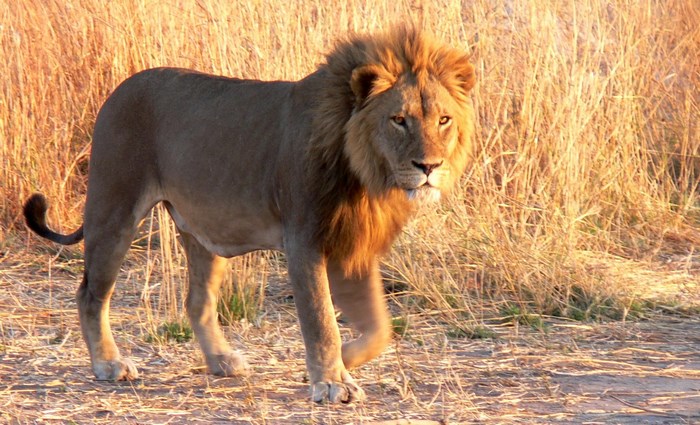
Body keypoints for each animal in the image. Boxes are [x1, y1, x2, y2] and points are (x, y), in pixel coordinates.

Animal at [23, 27, 476, 403]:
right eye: (399, 120)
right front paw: (331, 382)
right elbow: (320, 319)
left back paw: (221, 360)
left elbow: (380, 328)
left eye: (444, 119)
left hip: (202, 231)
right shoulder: (304, 239)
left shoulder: (354, 243)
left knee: (197, 301)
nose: (430, 166)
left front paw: (338, 365)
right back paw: (109, 364)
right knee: (90, 294)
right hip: (113, 211)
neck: (366, 175)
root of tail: (119, 89)